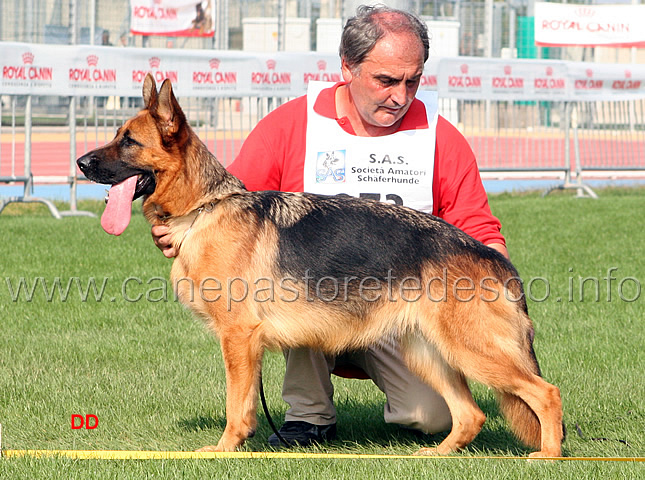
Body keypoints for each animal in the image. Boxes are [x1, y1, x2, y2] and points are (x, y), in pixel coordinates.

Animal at [78, 75, 564, 458]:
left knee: (546, 393)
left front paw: (224, 449)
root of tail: (494, 257)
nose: (81, 163)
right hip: (429, 353)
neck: (205, 207)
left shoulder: (238, 339)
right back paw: (439, 454)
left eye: (128, 141)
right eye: (116, 135)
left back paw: (549, 456)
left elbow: (237, 405)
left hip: (473, 351)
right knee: (470, 414)